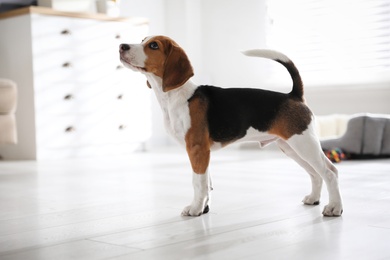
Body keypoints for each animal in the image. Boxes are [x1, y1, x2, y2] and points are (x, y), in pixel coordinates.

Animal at [119, 35, 344, 216]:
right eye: (142, 40)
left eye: (153, 45)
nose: (122, 46)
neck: (175, 96)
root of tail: (294, 95)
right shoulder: (203, 153)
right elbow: (207, 183)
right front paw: (204, 208)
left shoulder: (197, 149)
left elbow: (197, 182)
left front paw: (195, 209)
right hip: (290, 147)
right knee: (315, 174)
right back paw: (314, 199)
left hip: (304, 144)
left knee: (330, 172)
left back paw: (334, 208)